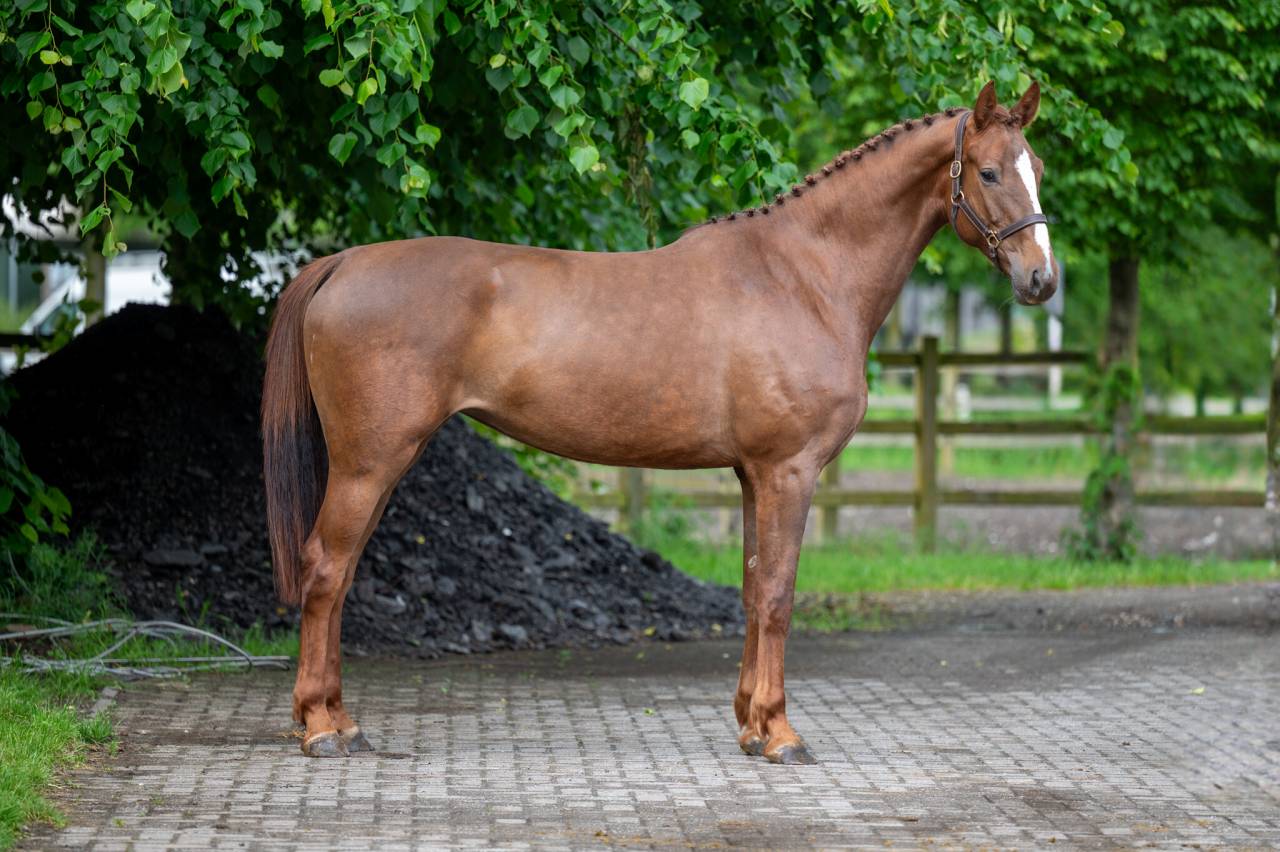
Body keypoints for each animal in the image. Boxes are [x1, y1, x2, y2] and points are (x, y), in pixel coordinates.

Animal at [262, 81, 1057, 764]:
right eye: (989, 172)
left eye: (1039, 168)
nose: (1042, 281)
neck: (803, 277)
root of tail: (341, 263)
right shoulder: (789, 471)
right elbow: (779, 595)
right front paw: (780, 733)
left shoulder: (752, 475)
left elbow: (752, 588)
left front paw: (751, 726)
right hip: (371, 462)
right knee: (326, 569)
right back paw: (323, 728)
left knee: (337, 574)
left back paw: (335, 721)